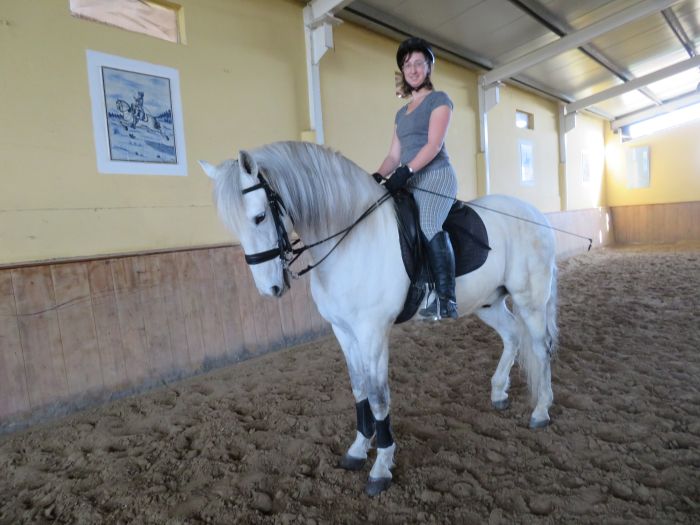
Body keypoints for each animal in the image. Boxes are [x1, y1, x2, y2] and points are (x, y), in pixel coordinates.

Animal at [198, 140, 556, 496]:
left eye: (259, 217)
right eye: (233, 226)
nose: (270, 288)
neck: (350, 240)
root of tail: (535, 213)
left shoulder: (372, 333)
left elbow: (378, 396)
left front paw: (381, 467)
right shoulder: (343, 331)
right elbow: (359, 389)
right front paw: (357, 450)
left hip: (530, 300)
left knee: (540, 349)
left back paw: (541, 411)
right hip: (488, 303)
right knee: (512, 336)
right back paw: (498, 393)